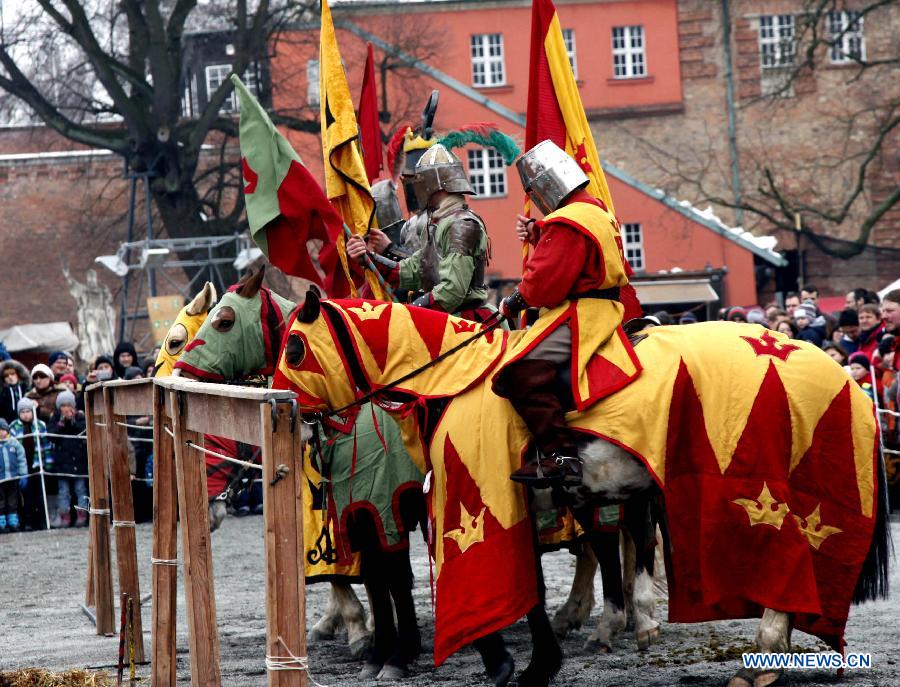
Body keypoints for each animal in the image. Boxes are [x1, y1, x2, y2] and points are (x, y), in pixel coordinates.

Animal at [278, 292, 888, 687]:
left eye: (295, 349)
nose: (293, 419)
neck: (458, 380)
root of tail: (838, 374)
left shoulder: (473, 503)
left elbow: (500, 587)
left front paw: (515, 663)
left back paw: (760, 651)